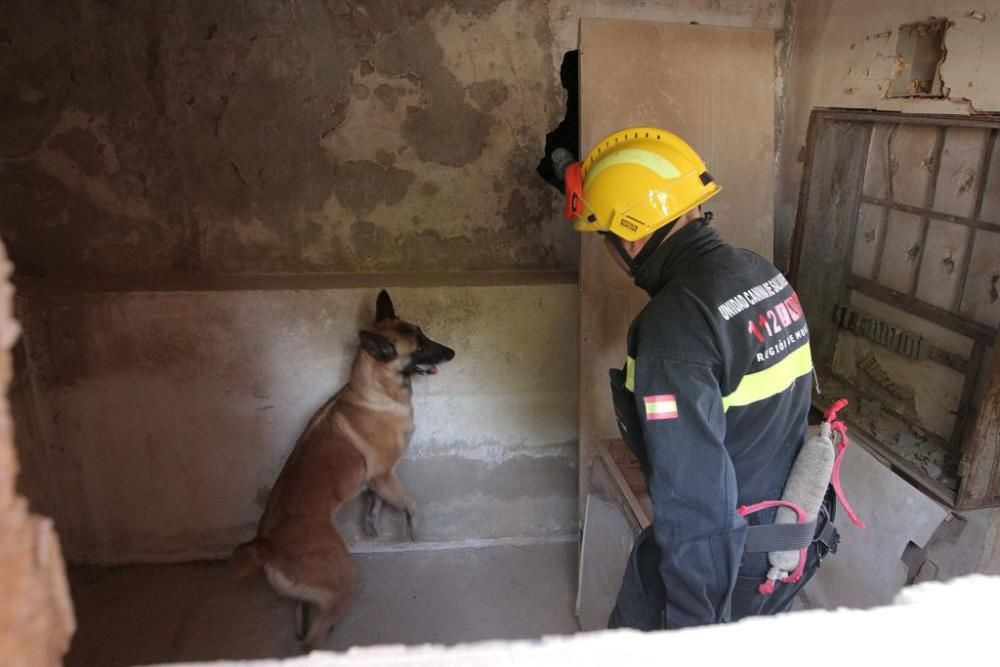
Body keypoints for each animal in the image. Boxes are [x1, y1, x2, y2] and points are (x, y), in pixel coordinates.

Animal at [230, 290, 454, 648]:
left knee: (302, 612)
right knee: (311, 640)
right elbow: (410, 503)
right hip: (344, 578)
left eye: (424, 334)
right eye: (418, 346)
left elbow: (374, 504)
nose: (452, 353)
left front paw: (373, 525)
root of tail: (266, 545)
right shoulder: (385, 476)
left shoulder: (375, 483)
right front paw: (411, 528)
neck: (375, 389)